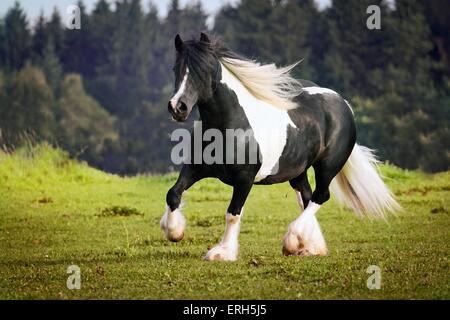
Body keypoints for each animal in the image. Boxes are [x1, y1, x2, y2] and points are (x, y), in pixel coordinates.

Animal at [160, 33, 400, 262]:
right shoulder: (195, 168)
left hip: (328, 166)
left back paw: (292, 242)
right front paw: (174, 232)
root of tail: (344, 104)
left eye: (204, 71)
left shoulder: (244, 179)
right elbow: (173, 194)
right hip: (298, 171)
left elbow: (233, 214)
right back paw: (310, 247)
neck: (230, 124)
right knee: (307, 197)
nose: (177, 107)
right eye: (175, 68)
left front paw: (222, 253)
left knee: (321, 196)